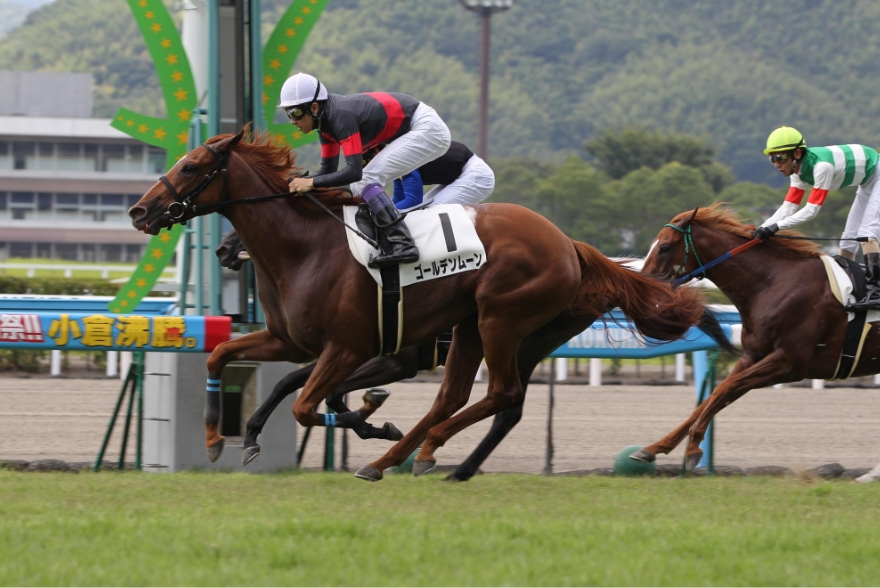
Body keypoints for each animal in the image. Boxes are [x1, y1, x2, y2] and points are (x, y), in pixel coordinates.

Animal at [129, 129, 715, 481]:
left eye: (191, 166)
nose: (139, 211)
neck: (307, 246)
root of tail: (568, 244)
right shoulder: (293, 340)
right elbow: (226, 357)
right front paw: (222, 438)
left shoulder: (357, 348)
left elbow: (306, 402)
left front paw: (371, 420)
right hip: (477, 328)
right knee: (461, 396)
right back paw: (403, 457)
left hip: (503, 322)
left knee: (502, 395)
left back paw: (427, 453)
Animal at [632, 203, 880, 471]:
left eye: (665, 247)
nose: (642, 286)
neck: (774, 283)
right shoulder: (753, 356)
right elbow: (712, 397)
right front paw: (654, 448)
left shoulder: (789, 363)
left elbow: (724, 389)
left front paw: (693, 447)